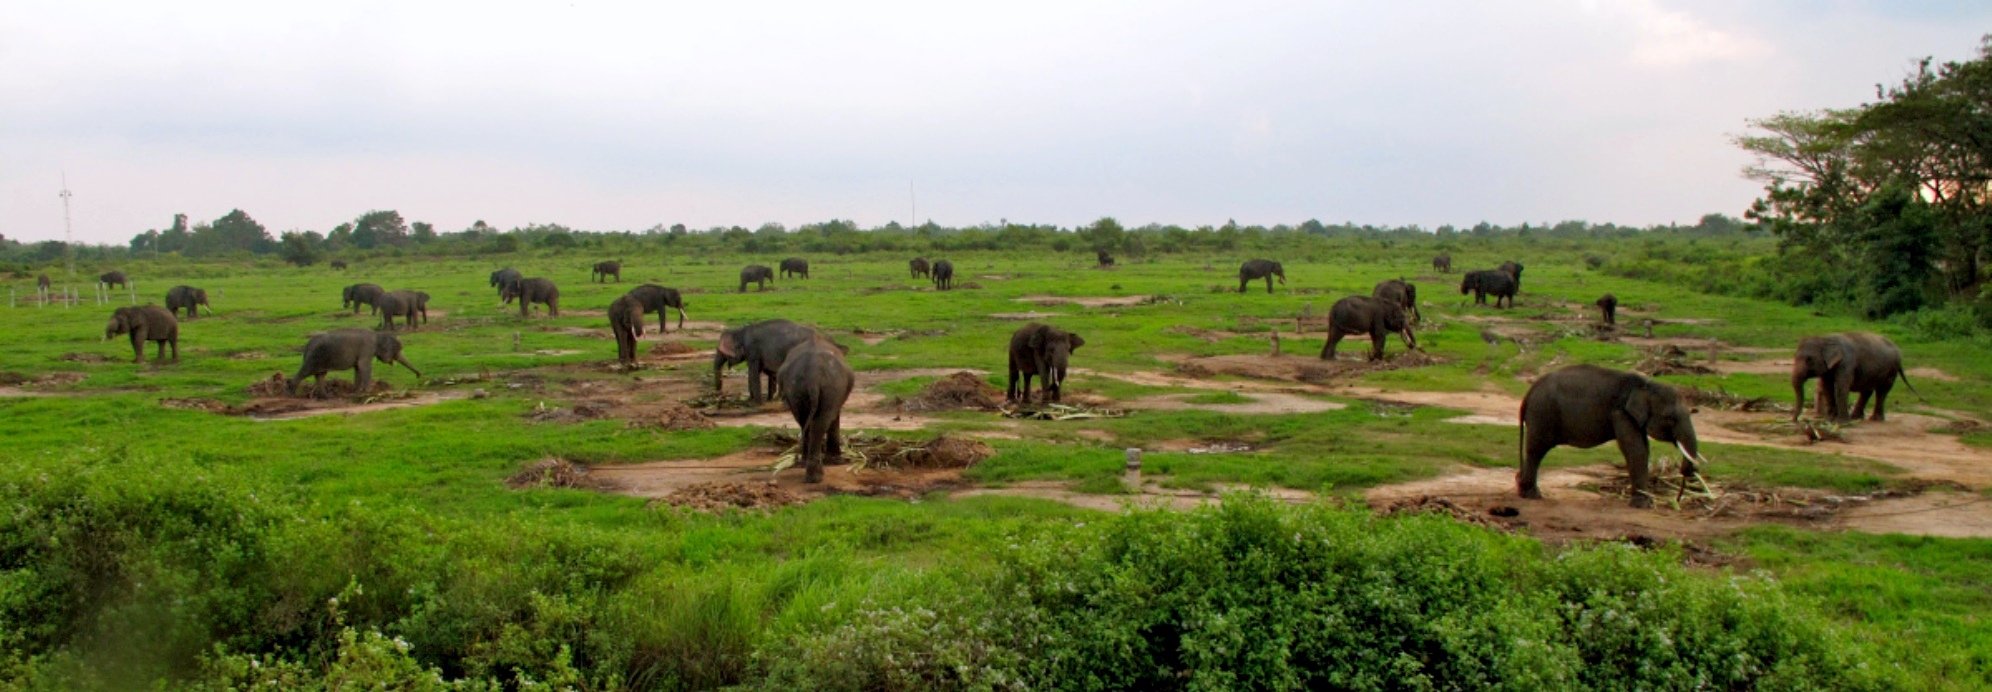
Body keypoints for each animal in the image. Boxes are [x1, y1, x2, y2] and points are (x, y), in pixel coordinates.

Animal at [288, 329, 420, 394]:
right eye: (396, 352)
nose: (419, 376)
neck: (377, 334)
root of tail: (307, 344)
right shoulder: (367, 348)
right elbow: (364, 367)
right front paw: (368, 392)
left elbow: (358, 368)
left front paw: (357, 392)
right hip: (315, 357)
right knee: (306, 372)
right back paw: (291, 392)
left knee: (320, 375)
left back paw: (325, 397)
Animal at [772, 333, 852, 484]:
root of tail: (813, 374)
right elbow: (834, 416)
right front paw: (837, 461)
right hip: (832, 386)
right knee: (821, 422)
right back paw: (816, 476)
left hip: (797, 388)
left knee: (804, 422)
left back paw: (807, 468)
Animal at [1513, 368, 1705, 510]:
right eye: (1669, 418)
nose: (1677, 500)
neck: (1645, 384)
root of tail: (1528, 393)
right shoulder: (1621, 414)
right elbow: (1636, 450)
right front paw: (1643, 506)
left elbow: (1643, 447)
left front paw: (1647, 503)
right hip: (1542, 413)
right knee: (1537, 449)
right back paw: (1532, 495)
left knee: (1535, 450)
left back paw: (1522, 489)